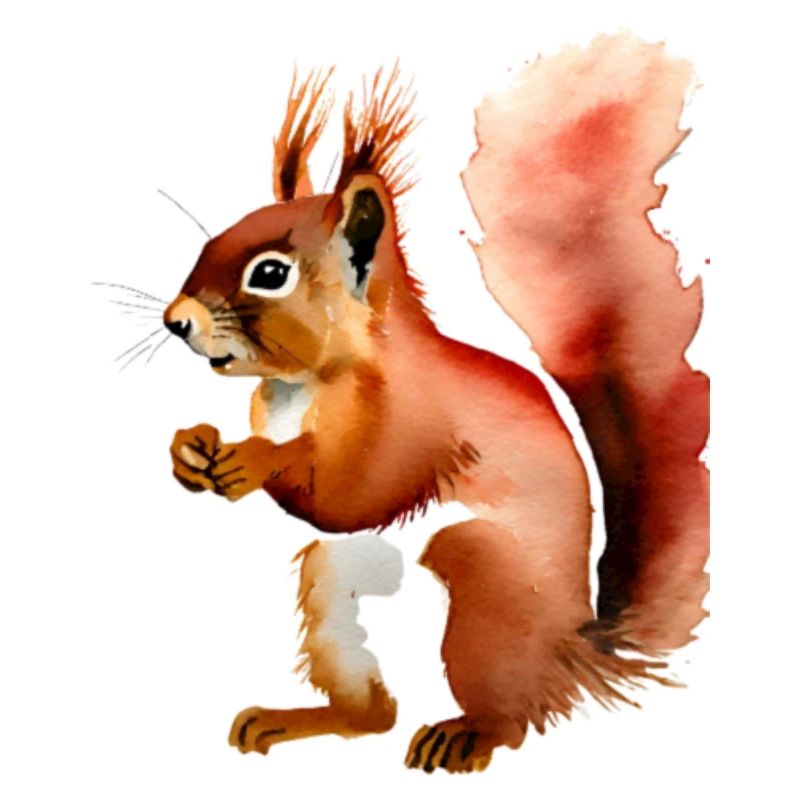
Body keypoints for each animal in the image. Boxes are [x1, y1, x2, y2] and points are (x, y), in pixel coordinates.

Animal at [162, 37, 708, 774]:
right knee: (374, 713)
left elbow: (349, 496)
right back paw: (300, 719)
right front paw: (189, 450)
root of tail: (574, 652)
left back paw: (466, 735)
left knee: (511, 713)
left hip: (484, 585)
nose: (175, 320)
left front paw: (254, 461)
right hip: (335, 582)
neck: (303, 385)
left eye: (270, 273)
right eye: (210, 240)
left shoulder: (411, 419)